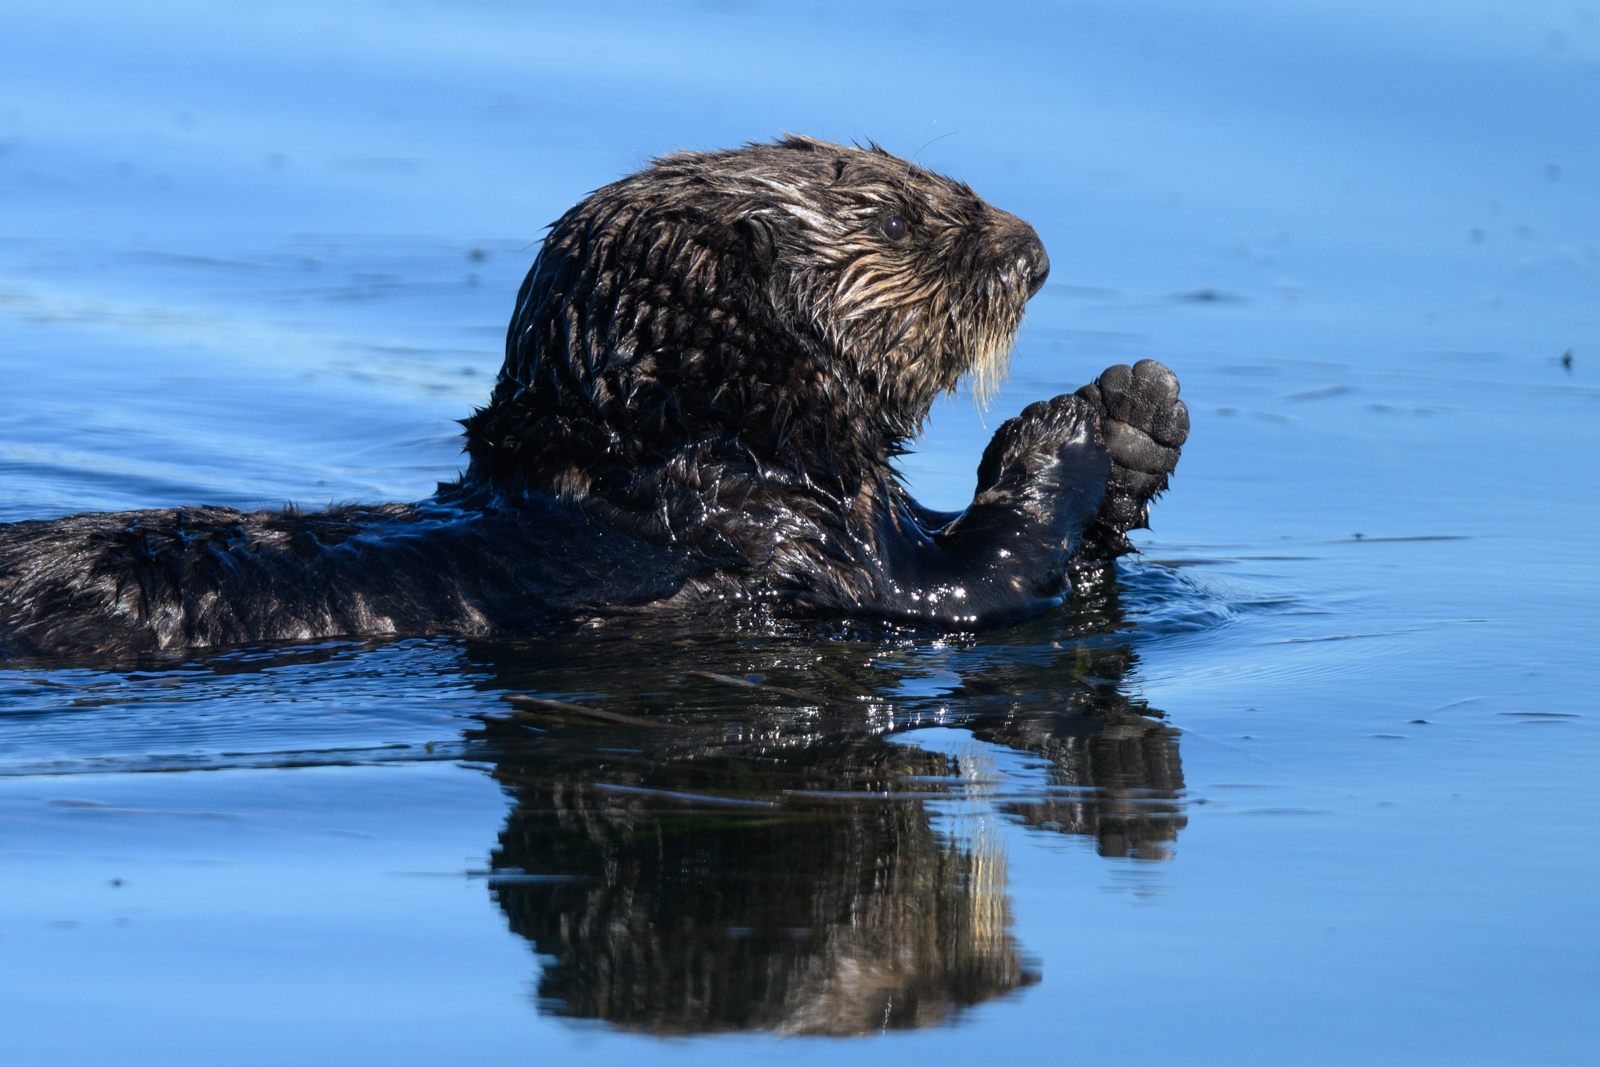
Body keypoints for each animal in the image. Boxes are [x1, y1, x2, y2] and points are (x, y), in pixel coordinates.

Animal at [0, 136, 1187, 656]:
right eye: (898, 219)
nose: (1034, 251)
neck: (683, 444)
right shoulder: (799, 554)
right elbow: (969, 586)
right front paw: (1082, 421)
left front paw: (1144, 423)